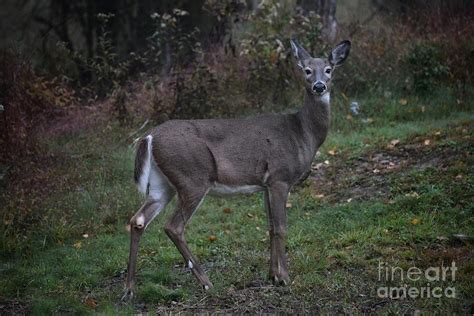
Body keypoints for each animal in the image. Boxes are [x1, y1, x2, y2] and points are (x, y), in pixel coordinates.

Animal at [124, 38, 350, 300]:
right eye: (306, 70)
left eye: (329, 69)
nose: (319, 86)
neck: (303, 133)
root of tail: (148, 137)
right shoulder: (280, 177)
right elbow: (281, 227)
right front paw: (284, 278)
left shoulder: (265, 184)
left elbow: (269, 227)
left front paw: (272, 275)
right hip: (193, 178)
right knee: (174, 226)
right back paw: (207, 283)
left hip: (163, 184)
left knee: (138, 219)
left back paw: (129, 290)